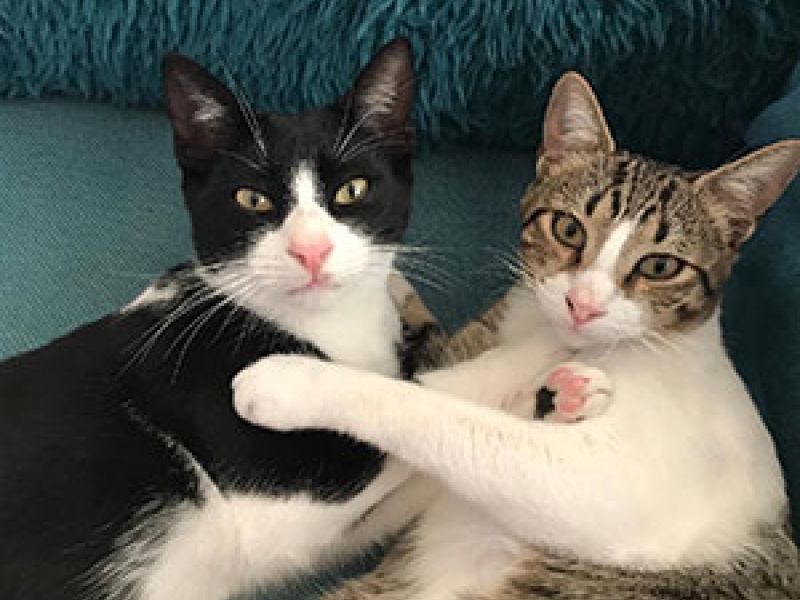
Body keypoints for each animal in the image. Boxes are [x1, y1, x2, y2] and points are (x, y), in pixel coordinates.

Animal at [233, 72, 800, 599]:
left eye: (660, 266)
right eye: (568, 229)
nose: (583, 306)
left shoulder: (613, 488)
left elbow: (443, 413)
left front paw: (293, 382)